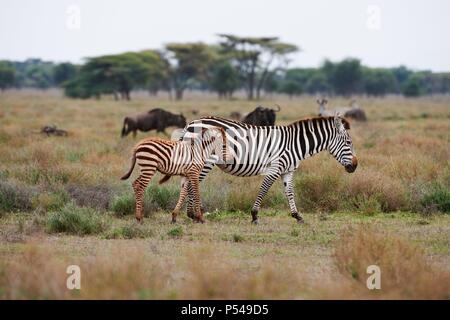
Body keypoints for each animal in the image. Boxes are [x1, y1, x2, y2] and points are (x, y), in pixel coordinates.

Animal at [171, 115, 356, 225]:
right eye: (348, 142)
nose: (355, 166)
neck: (295, 144)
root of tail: (191, 123)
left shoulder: (287, 170)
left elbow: (290, 192)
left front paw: (297, 216)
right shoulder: (274, 168)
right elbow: (264, 190)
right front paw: (254, 215)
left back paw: (191, 214)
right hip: (205, 160)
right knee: (192, 184)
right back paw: (194, 215)